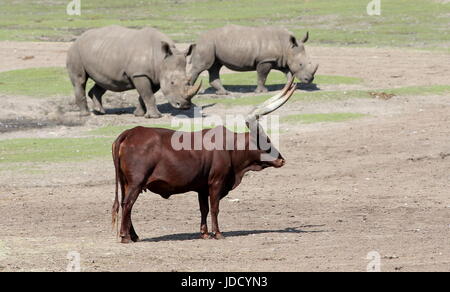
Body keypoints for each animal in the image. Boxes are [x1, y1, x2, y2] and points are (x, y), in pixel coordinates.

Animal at [111, 80, 298, 244]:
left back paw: (134, 235)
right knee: (127, 204)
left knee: (126, 205)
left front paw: (205, 233)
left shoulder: (201, 186)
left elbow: (204, 208)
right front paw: (218, 233)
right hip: (136, 183)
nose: (281, 159)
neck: (229, 146)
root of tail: (130, 132)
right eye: (266, 141)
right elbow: (214, 208)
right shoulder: (216, 182)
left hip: (126, 183)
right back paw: (125, 237)